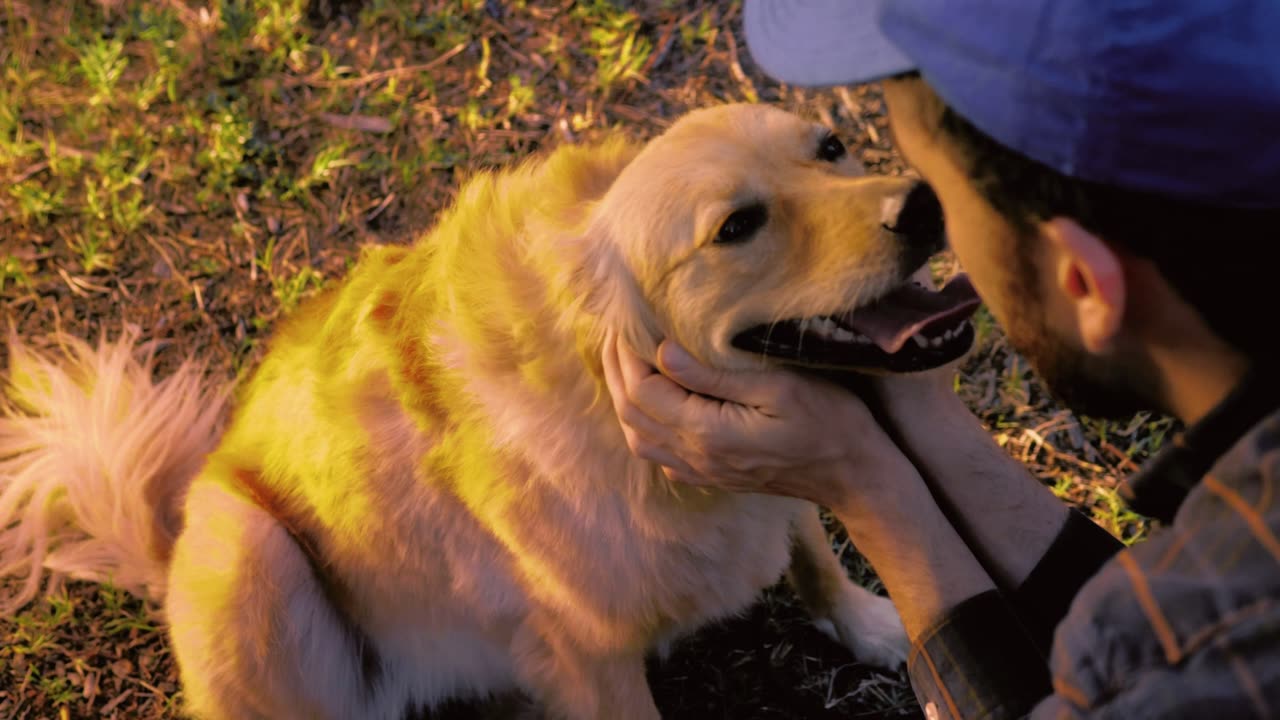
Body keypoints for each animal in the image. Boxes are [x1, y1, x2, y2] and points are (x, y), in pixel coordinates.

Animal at [0, 102, 977, 717]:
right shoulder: (591, 654)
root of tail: (162, 558)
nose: (927, 204)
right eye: (735, 227)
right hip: (247, 546)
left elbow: (811, 544)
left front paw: (872, 623)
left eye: (833, 145)